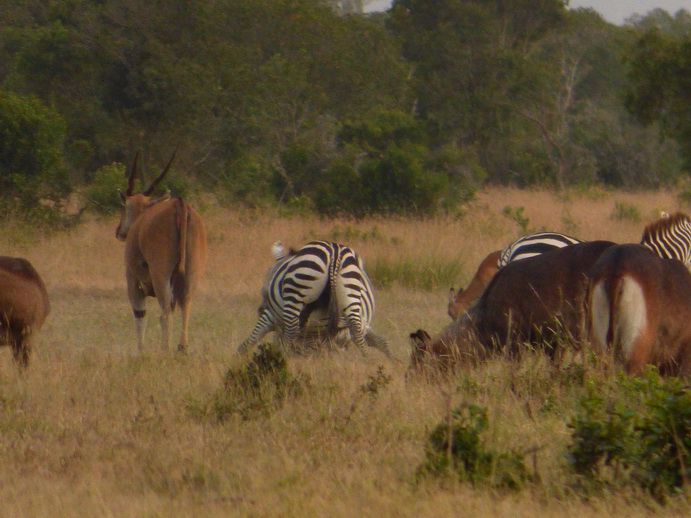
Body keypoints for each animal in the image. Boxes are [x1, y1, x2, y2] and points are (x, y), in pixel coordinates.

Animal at [116, 150, 207, 354]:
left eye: (124, 206)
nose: (119, 231)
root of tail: (180, 205)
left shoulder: (132, 282)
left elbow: (140, 315)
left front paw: (141, 352)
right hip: (191, 275)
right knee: (186, 308)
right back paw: (181, 348)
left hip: (161, 276)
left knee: (164, 315)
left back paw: (165, 350)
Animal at [237, 241, 390, 358]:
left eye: (265, 282)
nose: (260, 309)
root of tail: (335, 252)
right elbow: (380, 341)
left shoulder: (270, 316)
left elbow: (248, 342)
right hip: (350, 294)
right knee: (357, 330)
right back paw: (368, 361)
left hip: (298, 289)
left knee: (292, 332)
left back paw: (281, 356)